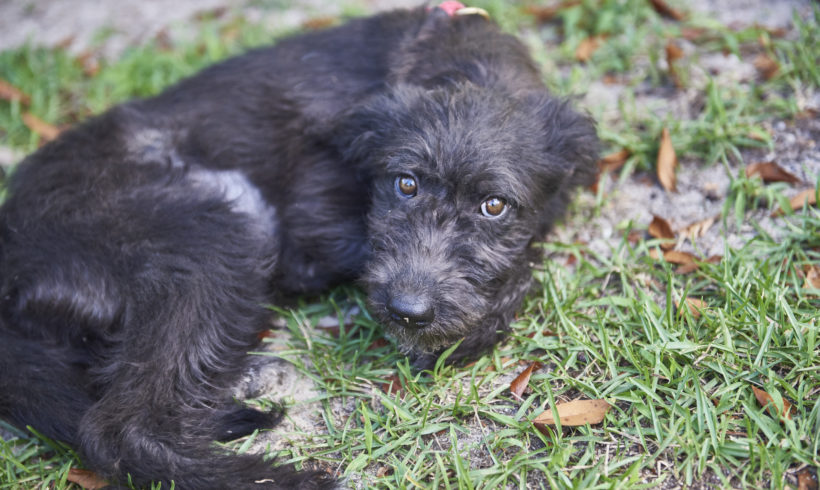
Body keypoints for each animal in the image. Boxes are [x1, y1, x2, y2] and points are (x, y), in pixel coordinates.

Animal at [0, 3, 598, 488]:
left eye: (494, 205)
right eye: (405, 183)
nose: (408, 311)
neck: (464, 63)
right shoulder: (312, 233)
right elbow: (522, 269)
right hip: (220, 227)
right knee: (120, 427)